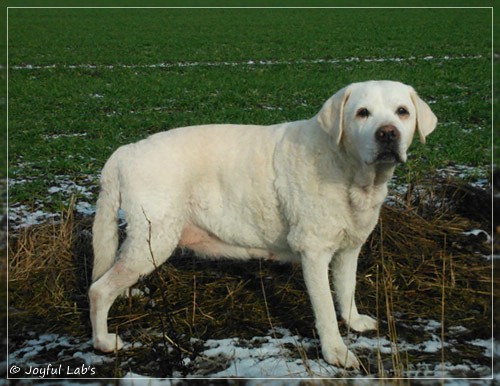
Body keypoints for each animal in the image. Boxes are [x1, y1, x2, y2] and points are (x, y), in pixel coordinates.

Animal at [90, 80, 438, 368]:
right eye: (363, 113)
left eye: (402, 112)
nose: (388, 133)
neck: (347, 168)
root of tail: (124, 152)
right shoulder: (313, 252)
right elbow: (325, 307)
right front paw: (336, 353)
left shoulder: (349, 247)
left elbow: (347, 288)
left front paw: (353, 321)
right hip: (155, 238)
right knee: (98, 289)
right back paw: (104, 341)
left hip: (144, 241)